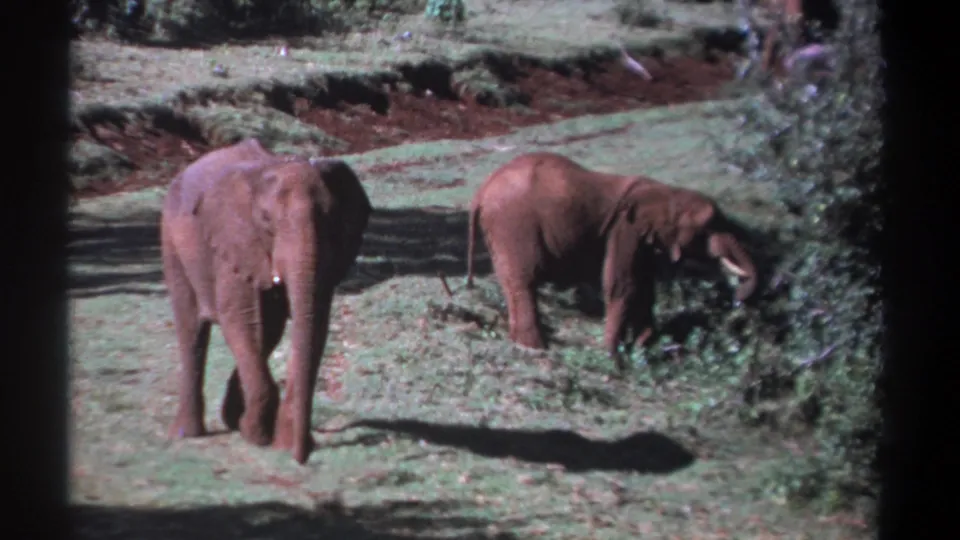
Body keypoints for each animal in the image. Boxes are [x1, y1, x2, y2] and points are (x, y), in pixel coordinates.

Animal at [160, 138, 372, 465]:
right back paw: (187, 434)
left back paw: (230, 419)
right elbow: (241, 319)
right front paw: (256, 436)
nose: (301, 457)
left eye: (331, 220)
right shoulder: (235, 242)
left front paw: (272, 438)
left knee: (268, 330)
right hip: (172, 242)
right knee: (192, 329)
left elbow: (315, 323)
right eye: (267, 221)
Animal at [465, 152, 757, 372]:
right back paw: (535, 348)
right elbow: (622, 284)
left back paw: (522, 344)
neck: (666, 193)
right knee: (524, 280)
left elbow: (644, 286)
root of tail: (483, 189)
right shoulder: (626, 229)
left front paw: (641, 346)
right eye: (708, 227)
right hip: (514, 224)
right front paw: (614, 357)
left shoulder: (643, 239)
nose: (737, 301)